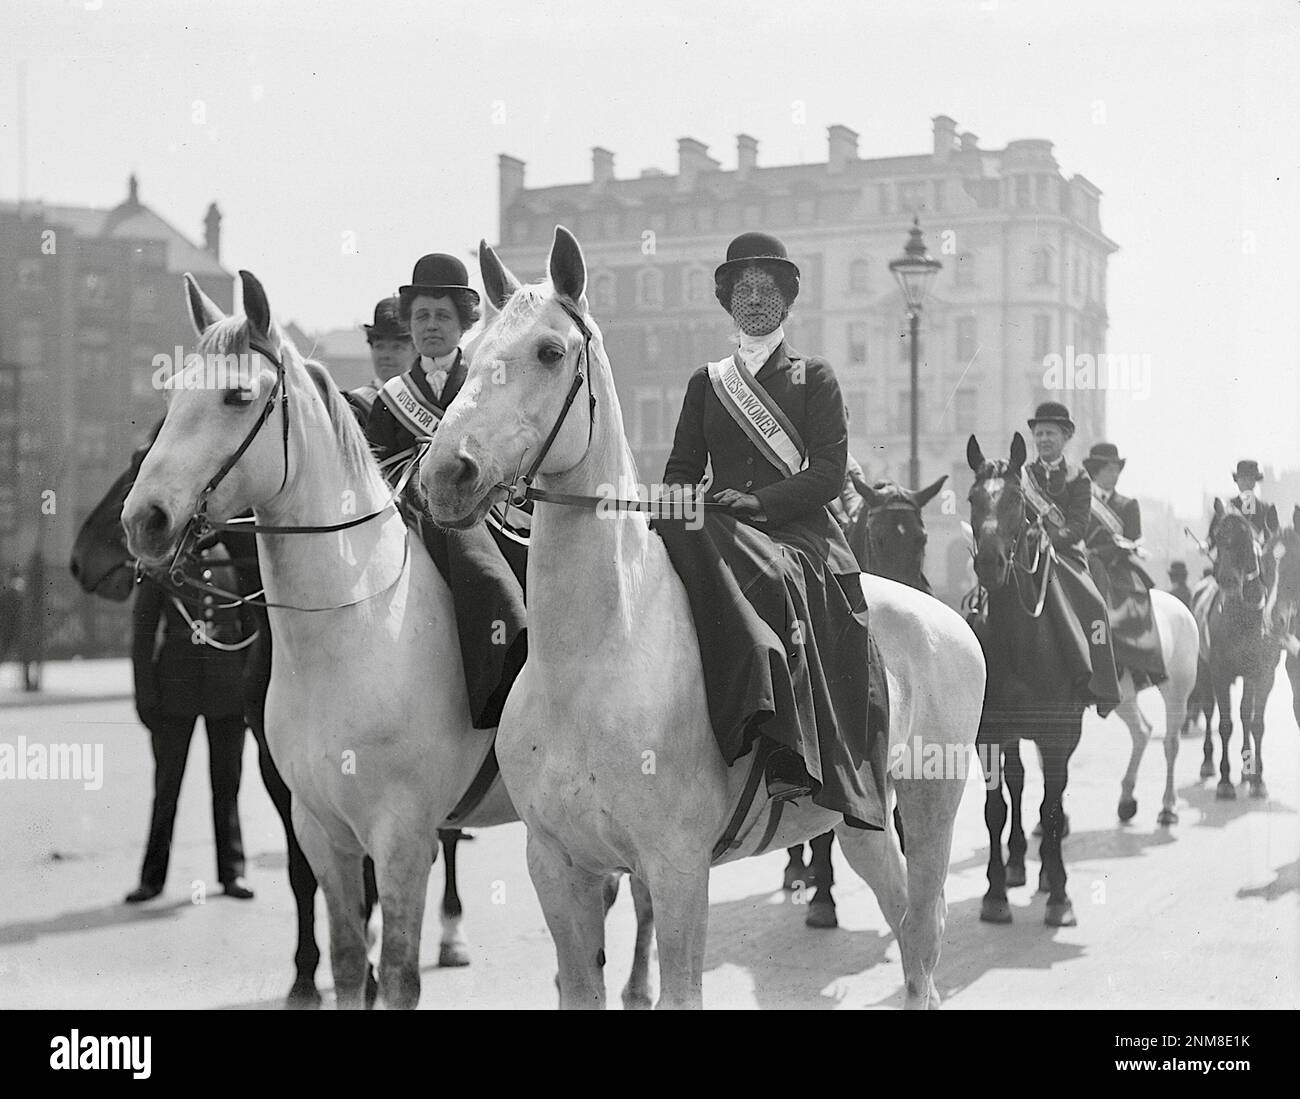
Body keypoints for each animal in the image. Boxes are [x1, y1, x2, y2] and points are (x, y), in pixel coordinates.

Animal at [68, 426, 470, 1004]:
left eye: (140, 457)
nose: (81, 558)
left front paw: (366, 968)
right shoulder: (284, 776)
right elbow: (304, 875)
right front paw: (306, 975)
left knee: (451, 840)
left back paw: (452, 932)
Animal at [1190, 499, 1284, 795]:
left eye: (1246, 539)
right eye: (1218, 537)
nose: (1227, 579)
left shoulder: (1264, 675)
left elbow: (1255, 722)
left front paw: (1258, 780)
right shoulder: (1220, 673)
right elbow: (1224, 723)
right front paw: (1224, 782)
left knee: (1245, 714)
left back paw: (1246, 770)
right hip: (1204, 670)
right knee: (1209, 710)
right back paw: (1208, 763)